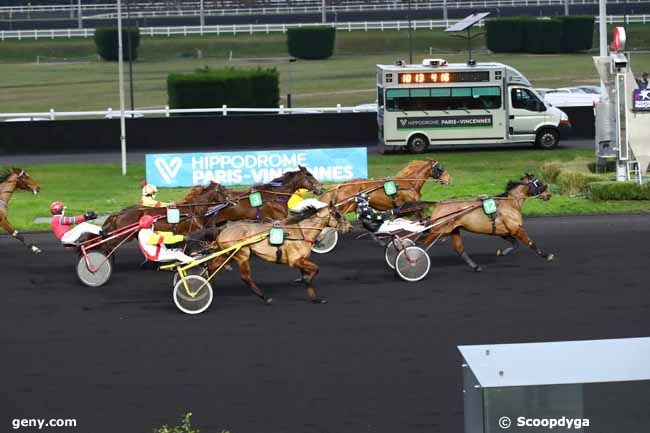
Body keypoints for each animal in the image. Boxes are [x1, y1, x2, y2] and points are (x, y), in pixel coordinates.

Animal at [422, 172, 556, 270]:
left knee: (459, 249)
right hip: (438, 231)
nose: (548, 195)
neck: (510, 203)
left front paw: (501, 252)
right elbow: (530, 243)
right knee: (423, 245)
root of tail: (439, 205)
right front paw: (547, 255)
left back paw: (476, 266)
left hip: (453, 230)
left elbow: (515, 244)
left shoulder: (503, 231)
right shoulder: (516, 228)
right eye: (538, 183)